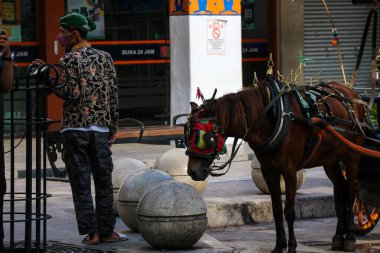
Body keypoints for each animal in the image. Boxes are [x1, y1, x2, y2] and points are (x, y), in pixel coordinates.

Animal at [186, 76, 370, 253]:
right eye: (187, 133)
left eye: (203, 136)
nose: (192, 172)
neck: (273, 116)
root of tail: (352, 93)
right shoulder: (269, 171)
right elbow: (276, 210)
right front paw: (279, 245)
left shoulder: (290, 171)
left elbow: (289, 211)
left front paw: (292, 247)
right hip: (330, 159)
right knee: (341, 192)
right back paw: (338, 237)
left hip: (352, 155)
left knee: (351, 194)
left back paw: (350, 238)